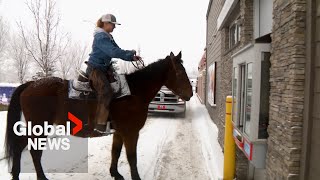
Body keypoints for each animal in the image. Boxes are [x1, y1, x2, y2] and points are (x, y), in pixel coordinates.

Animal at [5, 51, 192, 179]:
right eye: (180, 72)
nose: (190, 94)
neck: (134, 92)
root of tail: (30, 85)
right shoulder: (131, 133)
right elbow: (132, 157)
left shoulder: (119, 133)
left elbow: (116, 152)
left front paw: (115, 173)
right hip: (39, 127)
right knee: (34, 151)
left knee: (21, 147)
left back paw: (16, 174)